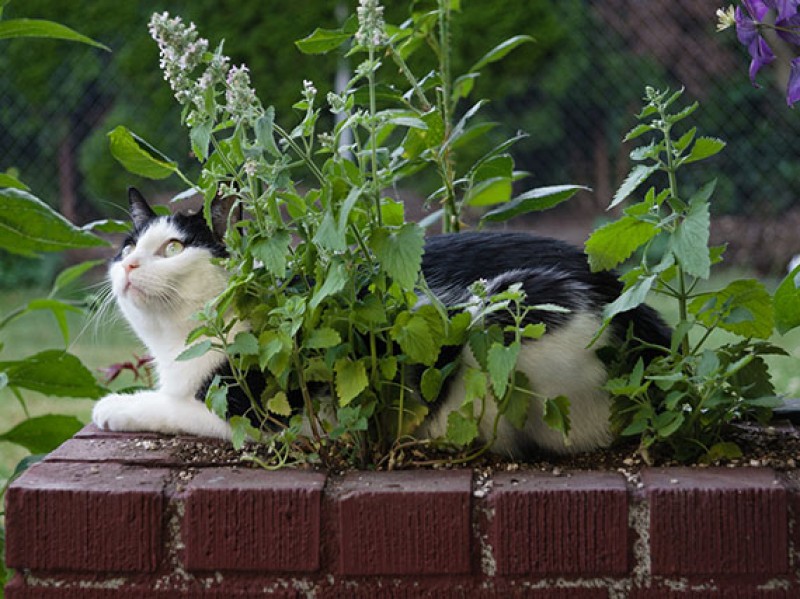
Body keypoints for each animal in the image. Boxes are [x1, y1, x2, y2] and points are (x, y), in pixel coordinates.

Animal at [90, 190, 672, 458]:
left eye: (173, 248)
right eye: (127, 246)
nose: (128, 267)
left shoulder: (283, 416)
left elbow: (176, 408)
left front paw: (114, 405)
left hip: (513, 315)